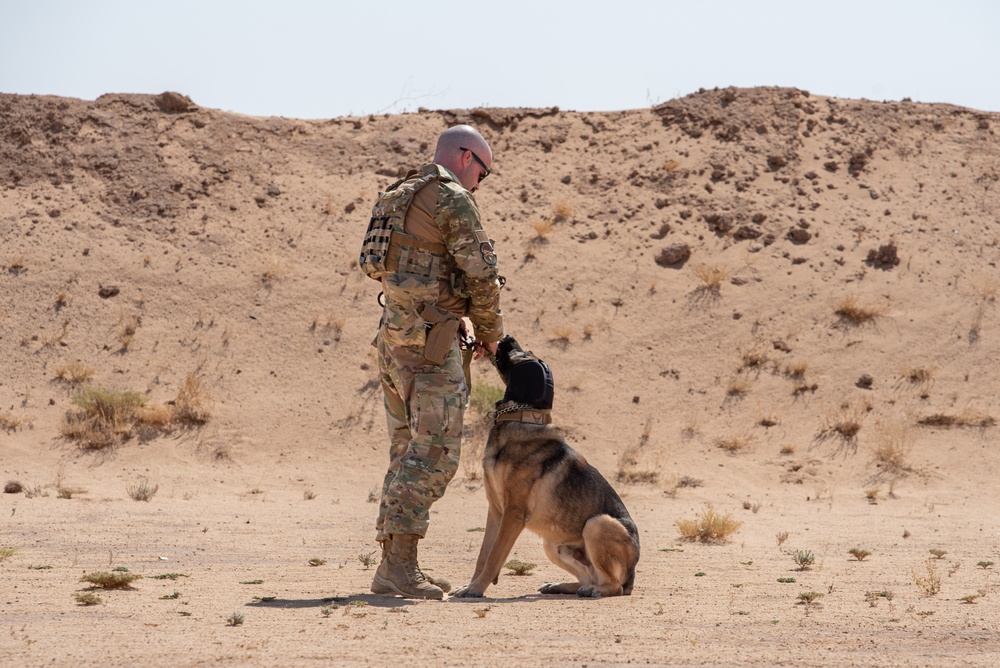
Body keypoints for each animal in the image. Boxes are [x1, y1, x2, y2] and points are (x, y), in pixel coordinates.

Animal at [454, 336, 640, 596]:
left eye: (523, 355)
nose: (506, 337)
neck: (522, 416)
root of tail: (631, 577)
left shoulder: (513, 514)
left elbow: (493, 557)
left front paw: (476, 588)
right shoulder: (495, 510)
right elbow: (483, 556)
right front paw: (470, 585)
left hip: (597, 524)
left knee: (613, 585)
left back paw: (593, 591)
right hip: (553, 545)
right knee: (589, 577)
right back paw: (562, 585)